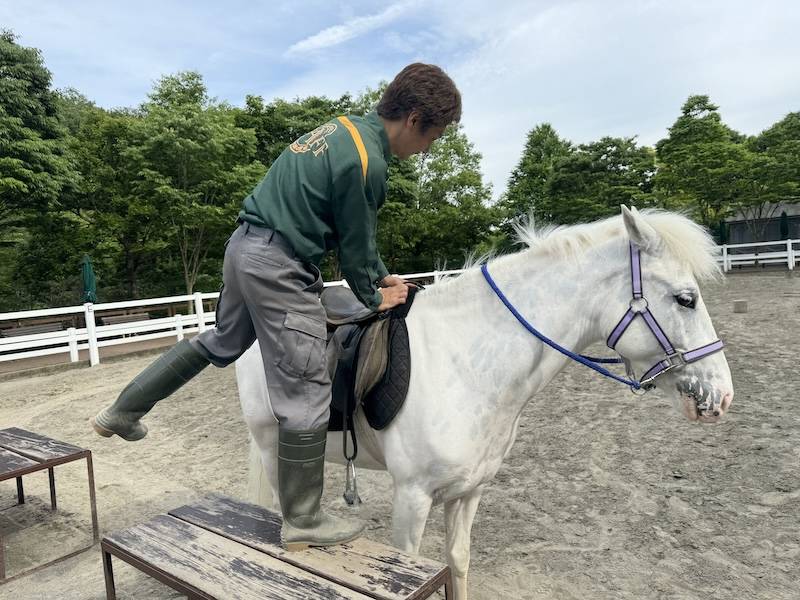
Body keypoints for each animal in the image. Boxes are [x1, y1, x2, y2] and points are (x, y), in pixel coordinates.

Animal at [235, 206, 734, 600]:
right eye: (686, 299)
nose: (722, 395)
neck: (466, 362)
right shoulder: (412, 496)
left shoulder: (469, 491)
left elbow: (456, 563)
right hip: (270, 445)